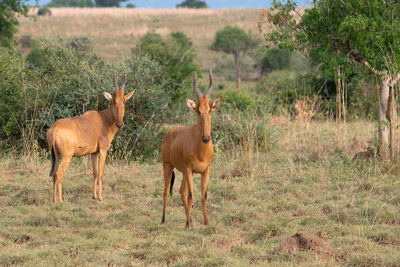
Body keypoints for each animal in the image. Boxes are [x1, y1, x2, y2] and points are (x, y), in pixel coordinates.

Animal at [46, 71, 134, 203]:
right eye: (113, 101)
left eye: (123, 100)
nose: (119, 124)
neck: (103, 119)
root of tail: (54, 129)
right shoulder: (103, 150)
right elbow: (101, 173)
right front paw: (101, 197)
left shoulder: (94, 153)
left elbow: (95, 173)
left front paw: (94, 196)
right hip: (67, 156)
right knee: (59, 174)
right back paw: (61, 201)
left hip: (56, 155)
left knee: (53, 175)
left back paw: (54, 200)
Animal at [161, 70, 222, 229]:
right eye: (197, 111)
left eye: (210, 110)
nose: (206, 138)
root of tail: (169, 133)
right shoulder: (189, 169)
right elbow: (191, 195)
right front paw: (188, 225)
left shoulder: (205, 170)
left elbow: (203, 195)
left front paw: (205, 222)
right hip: (168, 166)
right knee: (166, 192)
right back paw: (164, 220)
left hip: (183, 172)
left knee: (181, 191)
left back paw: (190, 220)